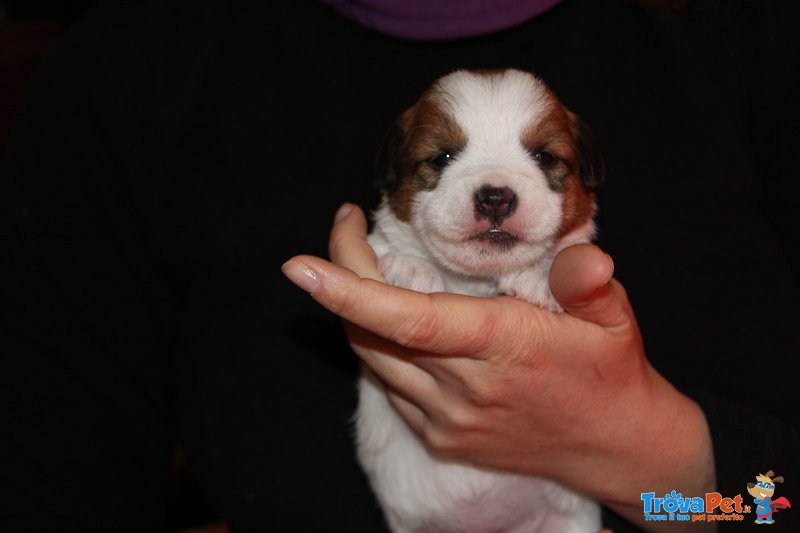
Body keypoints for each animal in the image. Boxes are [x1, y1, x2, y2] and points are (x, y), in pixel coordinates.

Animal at [360, 70, 604, 532]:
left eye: (544, 156)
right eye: (442, 157)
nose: (495, 197)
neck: (476, 281)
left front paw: (540, 274)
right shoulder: (381, 236)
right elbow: (386, 245)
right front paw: (410, 268)